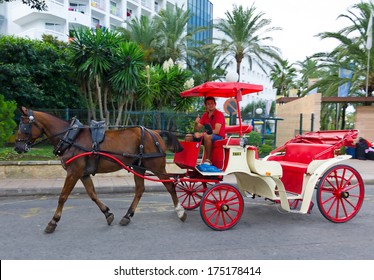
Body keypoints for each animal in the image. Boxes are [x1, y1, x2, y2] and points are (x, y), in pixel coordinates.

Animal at [15, 107, 187, 234]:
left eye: (24, 126)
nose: (17, 147)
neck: (71, 137)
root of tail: (155, 132)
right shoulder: (83, 174)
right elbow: (92, 194)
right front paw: (107, 214)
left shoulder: (73, 172)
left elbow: (63, 197)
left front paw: (53, 221)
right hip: (139, 166)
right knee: (140, 189)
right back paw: (127, 216)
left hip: (156, 166)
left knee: (170, 185)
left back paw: (180, 211)